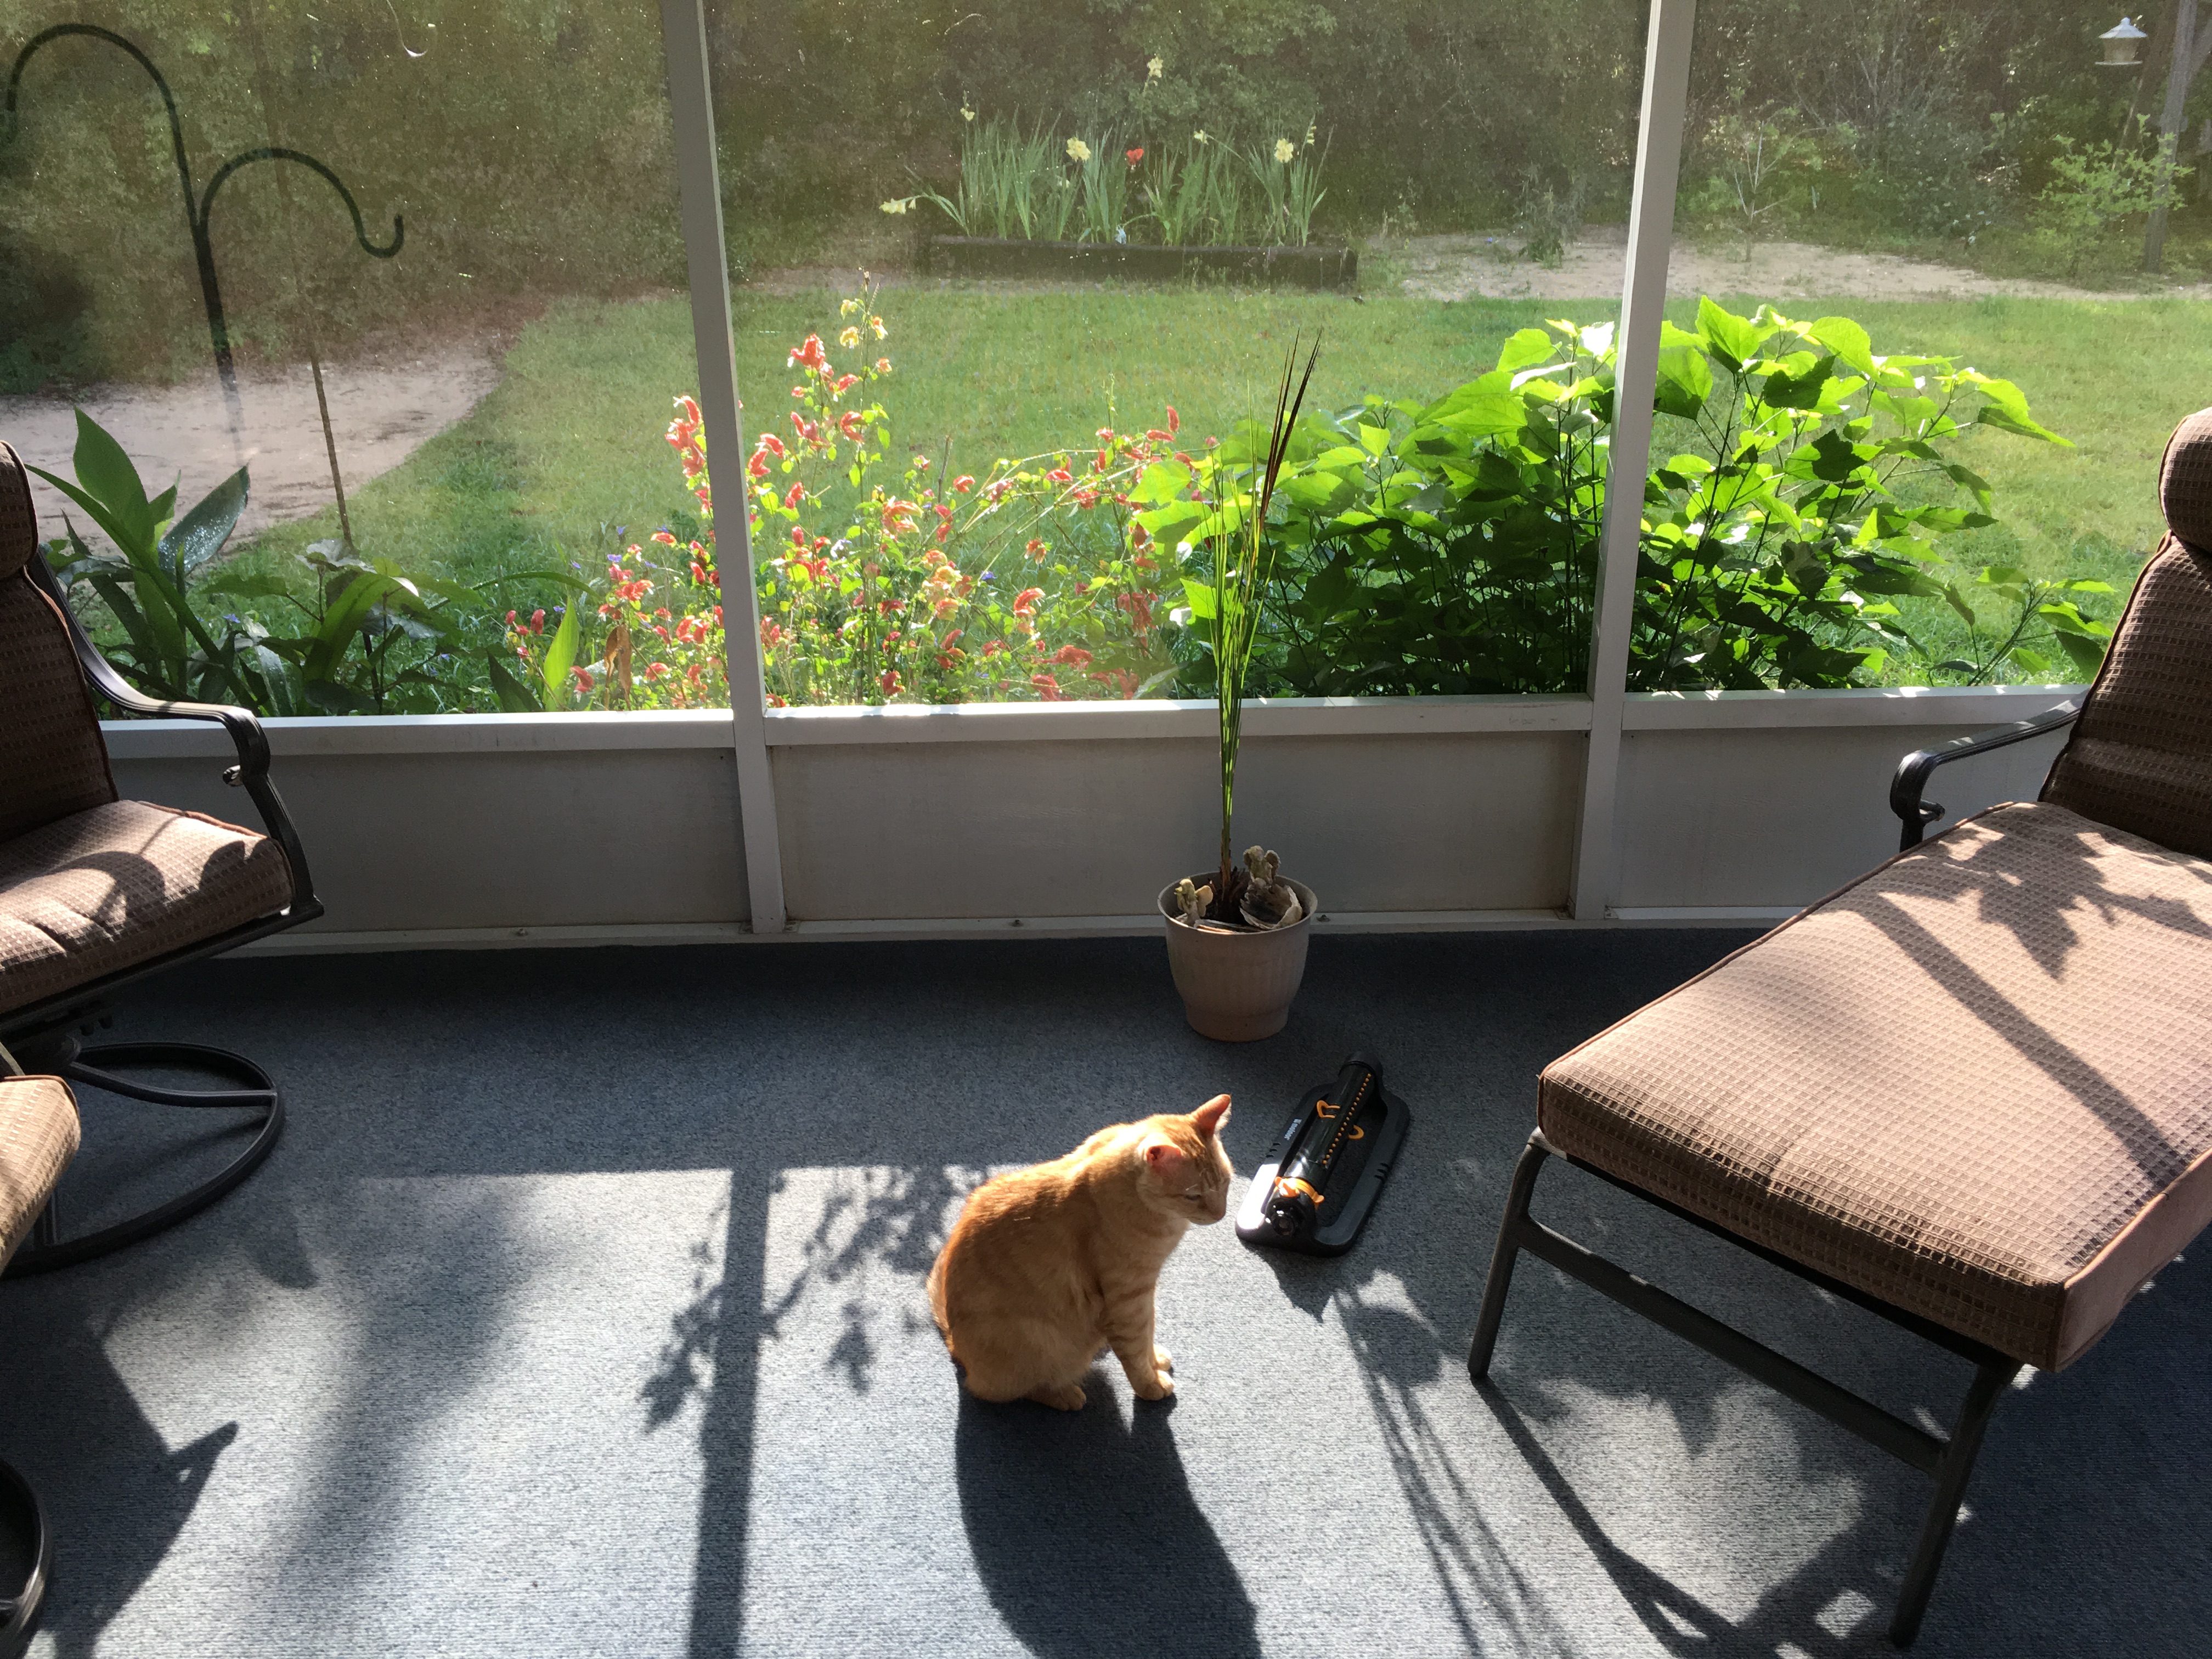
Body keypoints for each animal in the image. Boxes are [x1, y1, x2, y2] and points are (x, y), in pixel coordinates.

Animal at [927, 1093, 1234, 1410]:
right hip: (1038, 1342)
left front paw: (1155, 1361)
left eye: (1226, 1183)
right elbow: (1136, 1350)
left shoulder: (1144, 1297)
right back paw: (1065, 1395)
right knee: (1002, 1391)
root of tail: (955, 1346)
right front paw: (1150, 1385)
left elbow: (1148, 1333)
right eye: (1193, 1196)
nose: (1220, 1214)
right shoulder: (1128, 1301)